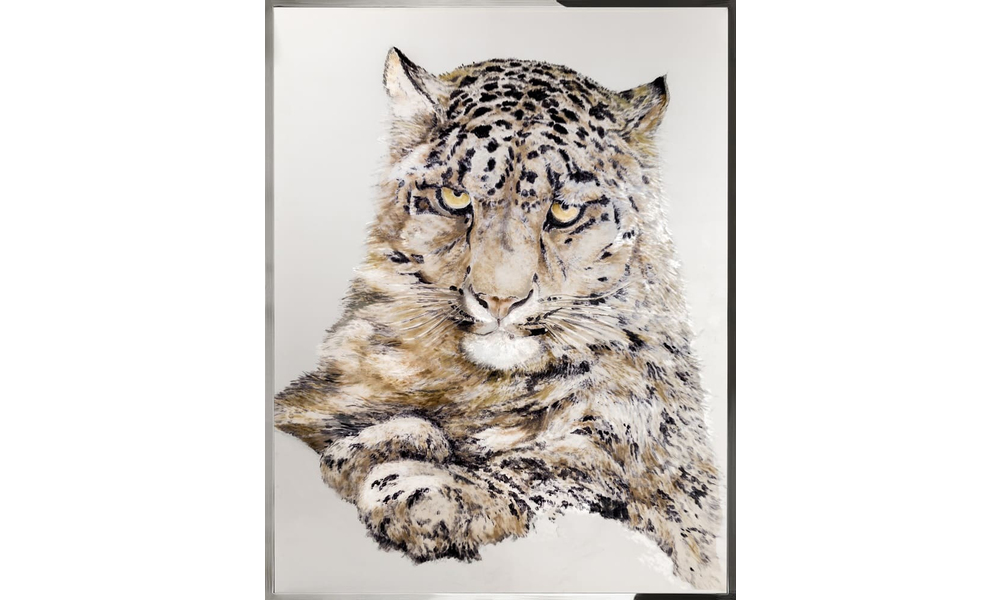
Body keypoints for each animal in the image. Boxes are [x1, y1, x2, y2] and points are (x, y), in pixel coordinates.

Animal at [275, 48, 724, 590]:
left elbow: (565, 469)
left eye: (565, 210)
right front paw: (387, 442)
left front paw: (419, 487)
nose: (500, 299)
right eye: (454, 197)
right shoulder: (319, 402)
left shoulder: (655, 454)